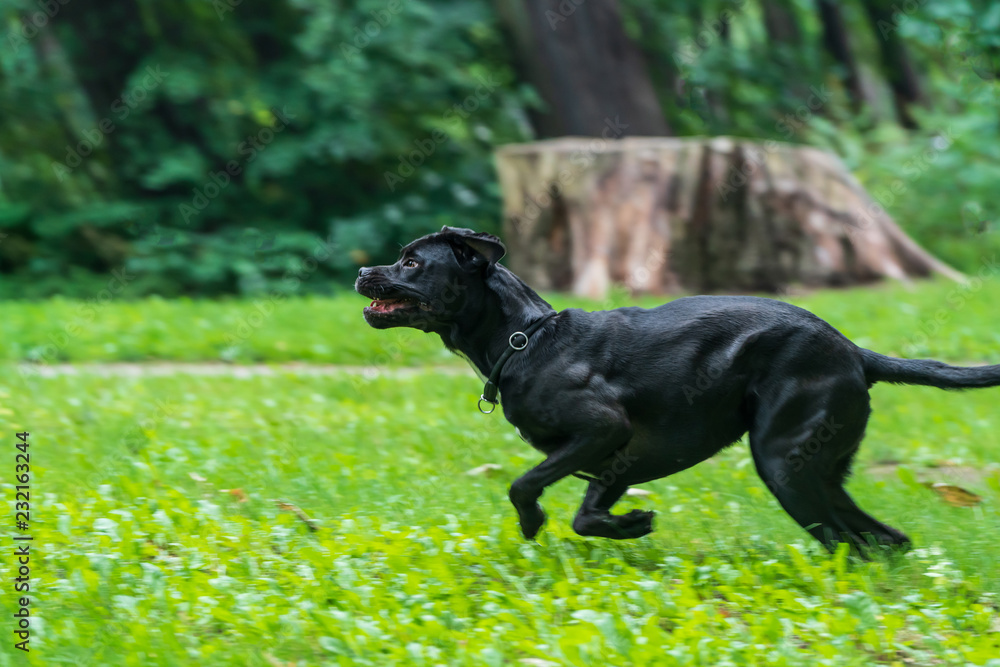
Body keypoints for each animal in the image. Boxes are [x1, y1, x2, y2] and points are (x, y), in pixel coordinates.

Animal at [356, 227, 996, 552]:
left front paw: (534, 524)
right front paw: (631, 526)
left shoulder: (601, 430)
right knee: (886, 539)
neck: (527, 339)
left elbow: (523, 484)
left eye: (411, 262)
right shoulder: (618, 460)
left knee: (850, 543)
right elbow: (588, 516)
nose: (362, 272)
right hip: (818, 472)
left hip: (784, 464)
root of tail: (855, 353)